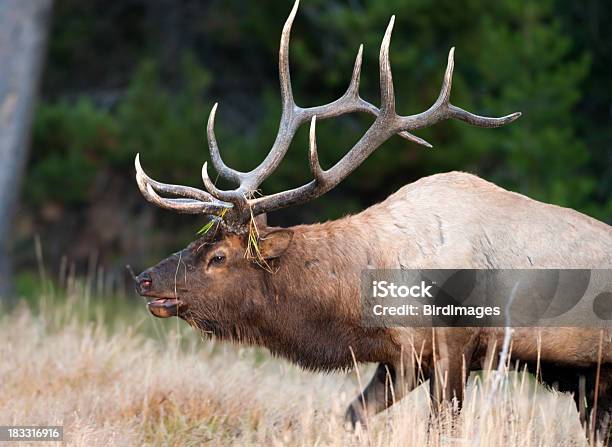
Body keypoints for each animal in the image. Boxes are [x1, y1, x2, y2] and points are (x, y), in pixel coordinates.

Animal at [134, 0, 612, 440]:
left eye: (217, 256)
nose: (144, 279)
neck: (367, 297)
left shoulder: (455, 347)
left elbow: (441, 428)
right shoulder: (402, 360)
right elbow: (354, 413)